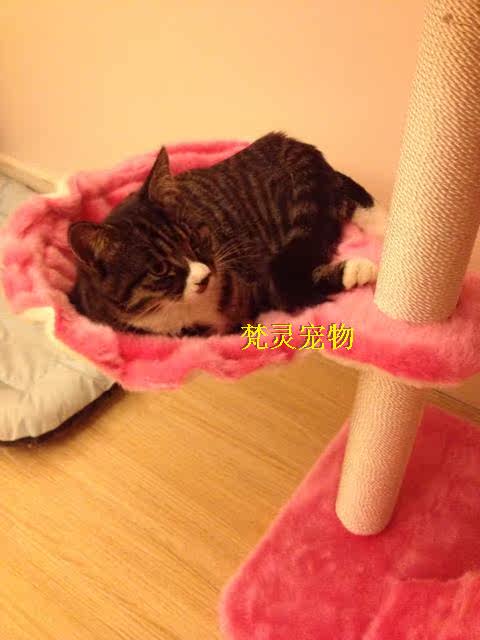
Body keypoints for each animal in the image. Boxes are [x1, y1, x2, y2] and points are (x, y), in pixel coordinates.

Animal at [68, 132, 379, 336]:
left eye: (194, 237)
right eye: (158, 269)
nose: (205, 276)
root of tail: (284, 142)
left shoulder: (258, 282)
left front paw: (357, 270)